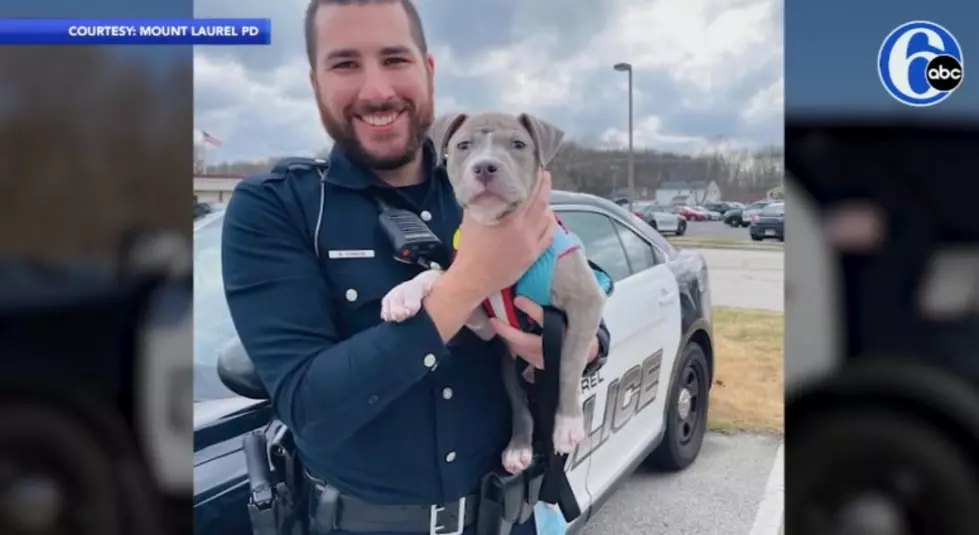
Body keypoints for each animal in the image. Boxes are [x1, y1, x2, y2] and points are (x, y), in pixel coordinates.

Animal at [378, 111, 608, 476]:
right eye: (463, 146)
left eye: (518, 144)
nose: (485, 166)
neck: (495, 225)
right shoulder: (483, 321)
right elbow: (440, 274)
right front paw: (404, 294)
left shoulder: (587, 300)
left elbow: (570, 364)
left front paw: (567, 424)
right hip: (507, 365)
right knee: (520, 405)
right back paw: (518, 448)